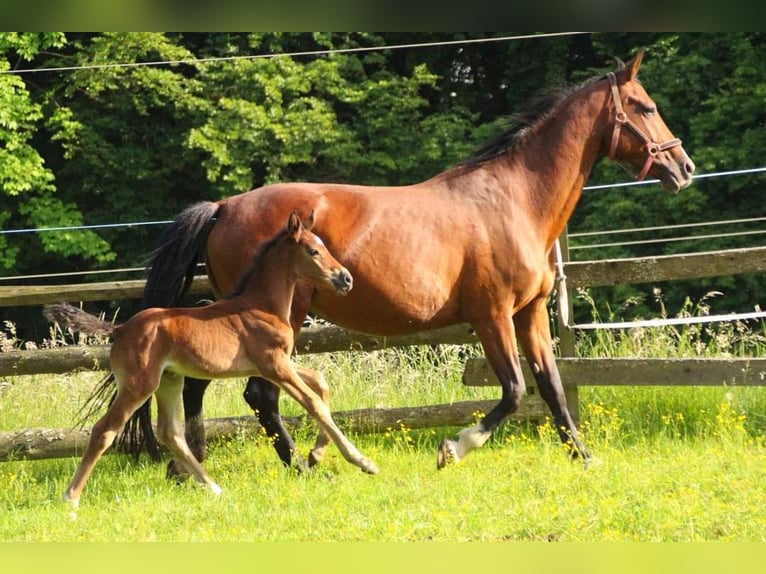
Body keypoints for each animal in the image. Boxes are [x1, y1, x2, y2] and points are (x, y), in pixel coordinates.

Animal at [45, 214, 378, 510]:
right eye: (313, 250)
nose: (346, 278)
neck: (263, 305)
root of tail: (121, 328)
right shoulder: (274, 365)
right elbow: (313, 402)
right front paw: (363, 462)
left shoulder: (277, 363)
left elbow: (321, 384)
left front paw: (317, 454)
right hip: (139, 385)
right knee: (105, 430)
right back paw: (71, 498)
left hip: (169, 380)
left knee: (169, 432)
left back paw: (213, 487)